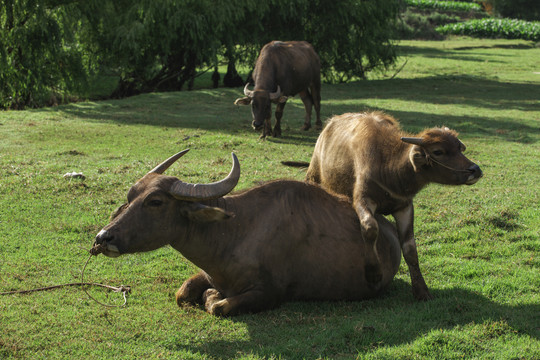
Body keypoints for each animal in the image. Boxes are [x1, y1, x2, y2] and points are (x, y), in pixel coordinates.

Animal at [94, 149, 400, 316]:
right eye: (130, 196)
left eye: (155, 201)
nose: (103, 238)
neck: (233, 233)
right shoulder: (206, 273)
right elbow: (182, 293)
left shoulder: (269, 294)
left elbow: (217, 306)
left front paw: (212, 296)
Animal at [288, 112, 484, 300]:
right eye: (438, 151)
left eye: (459, 148)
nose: (475, 170)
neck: (389, 166)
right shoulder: (362, 198)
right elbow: (370, 227)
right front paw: (374, 273)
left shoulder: (404, 206)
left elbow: (410, 249)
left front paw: (421, 290)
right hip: (313, 175)